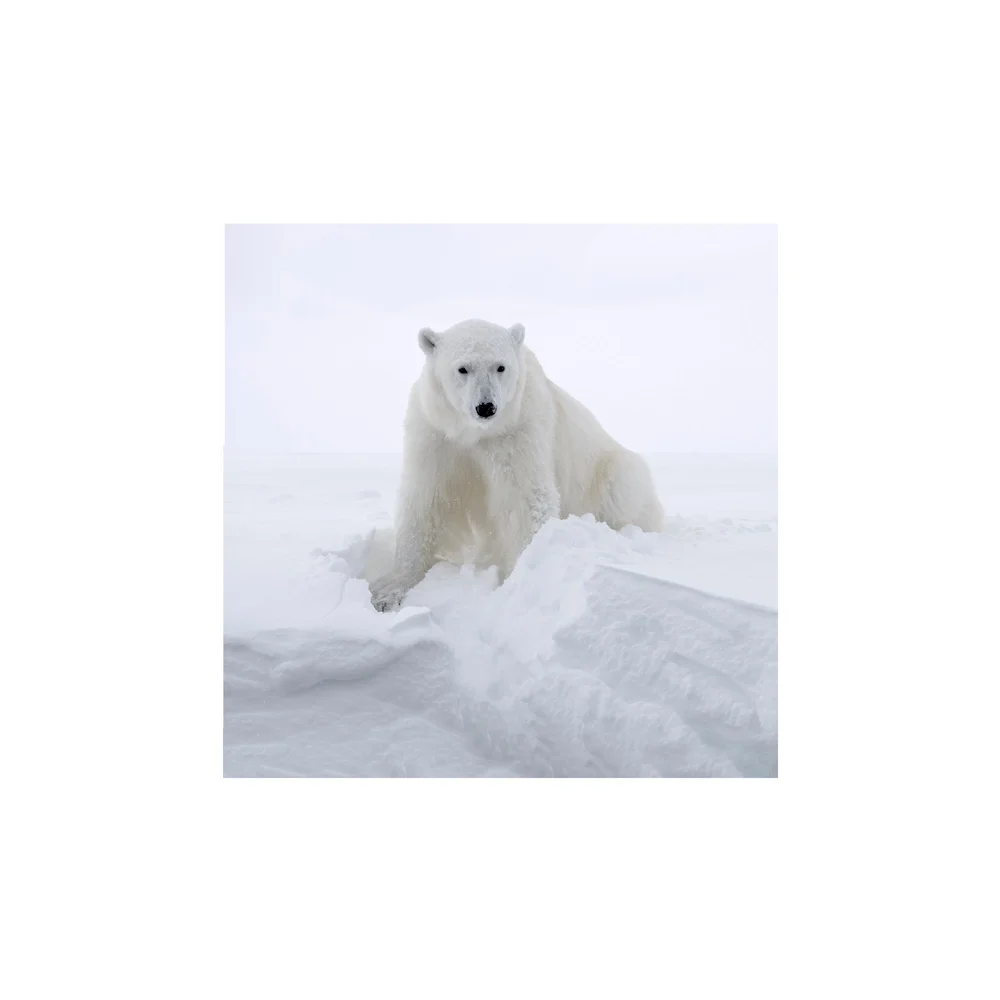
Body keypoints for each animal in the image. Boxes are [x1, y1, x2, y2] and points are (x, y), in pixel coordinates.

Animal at [369, 318, 664, 612]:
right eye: (463, 368)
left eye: (500, 366)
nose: (486, 407)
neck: (475, 432)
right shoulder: (436, 435)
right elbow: (426, 500)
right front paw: (388, 592)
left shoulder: (517, 431)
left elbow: (526, 498)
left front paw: (522, 581)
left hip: (609, 469)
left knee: (622, 491)